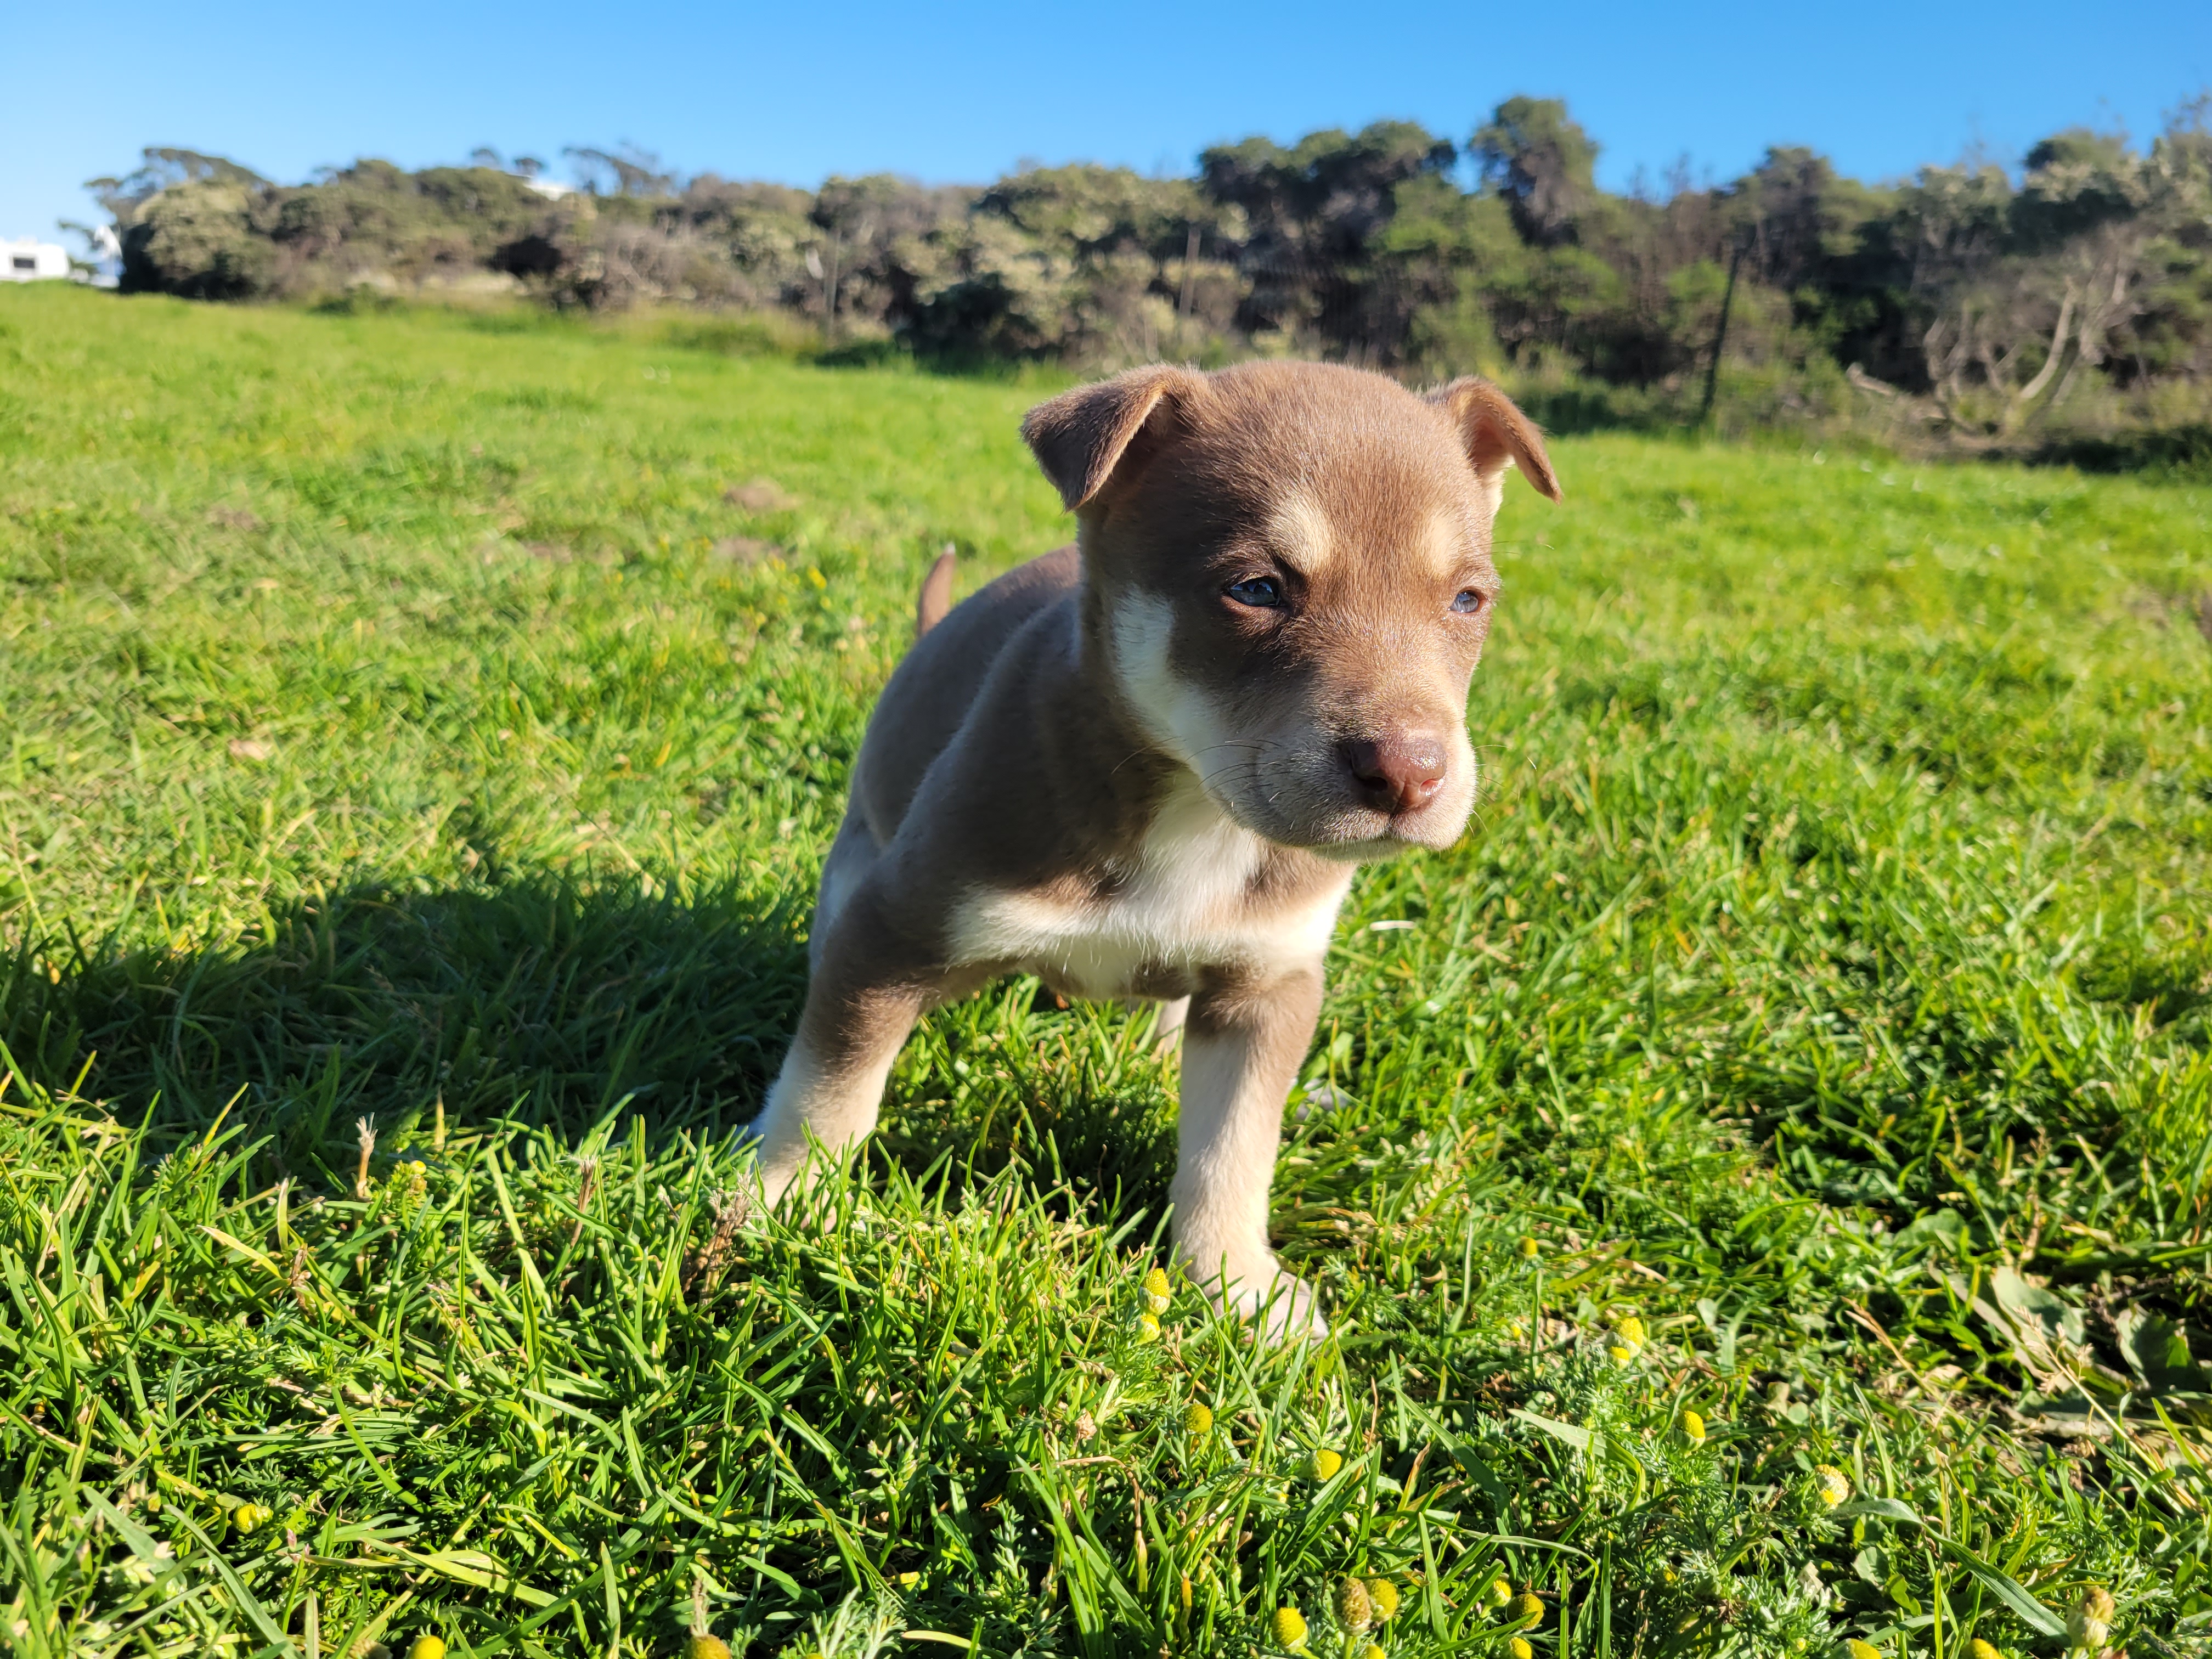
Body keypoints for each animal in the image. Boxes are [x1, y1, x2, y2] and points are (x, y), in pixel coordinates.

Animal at [748, 360, 1559, 1337]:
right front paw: (777, 1201)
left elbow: (1234, 1143)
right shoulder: (898, 927)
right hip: (859, 864)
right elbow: (830, 1086)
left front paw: (1238, 1284)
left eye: (1468, 601)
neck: (1195, 808)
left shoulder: (1268, 985)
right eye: (1257, 590)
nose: (1410, 774)